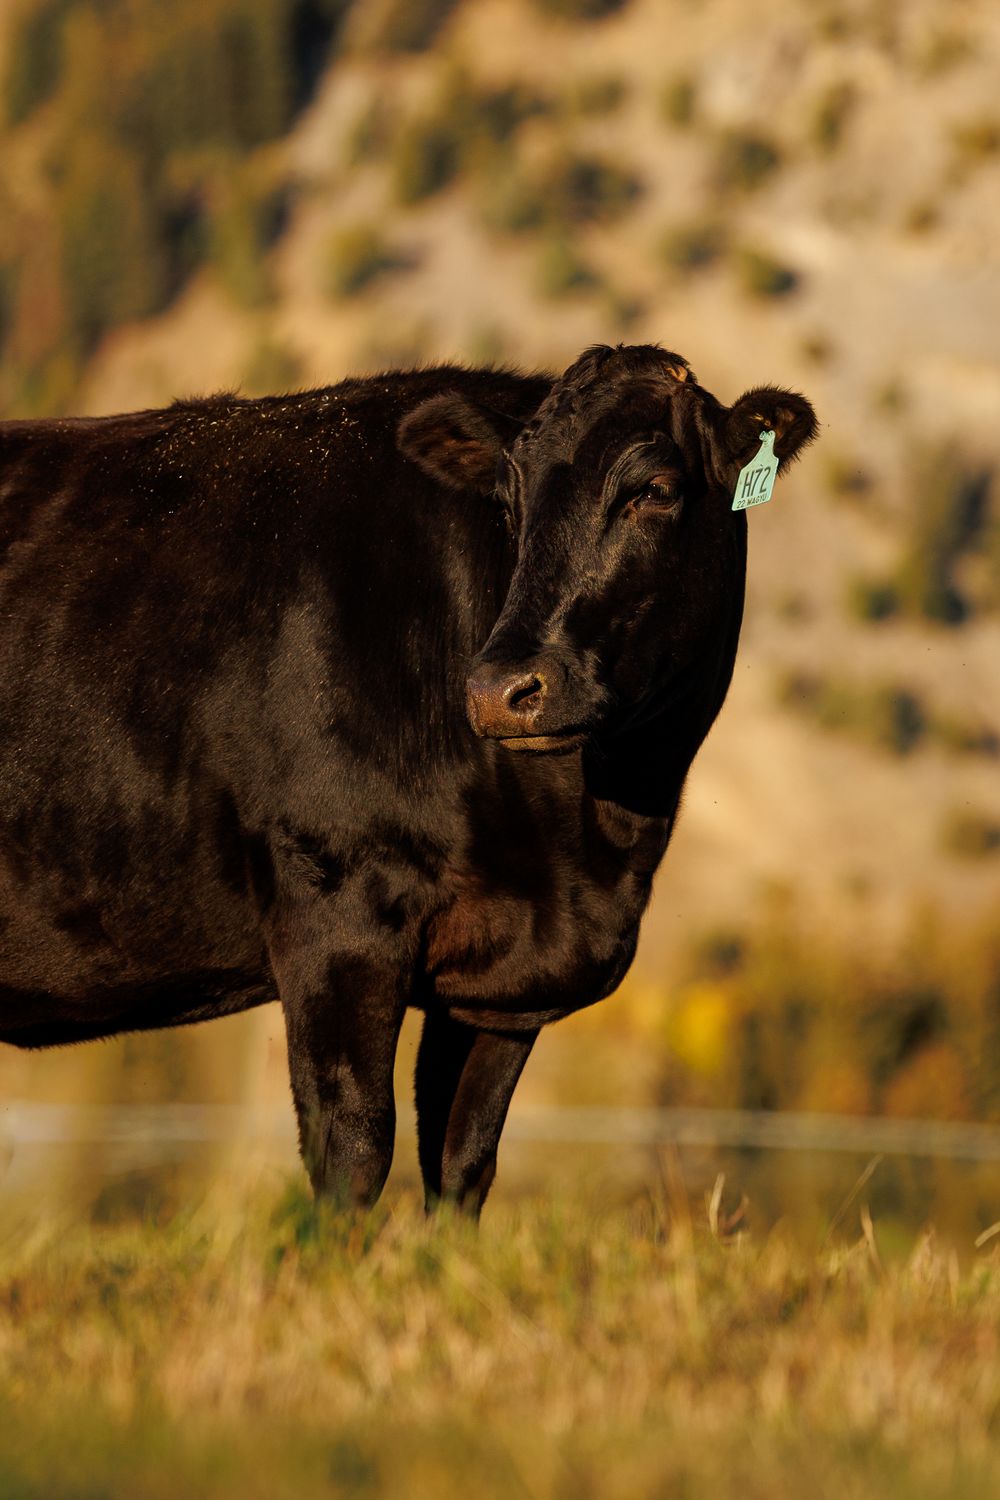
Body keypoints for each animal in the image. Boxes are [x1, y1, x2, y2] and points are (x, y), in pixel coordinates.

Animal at [0, 343, 816, 1216]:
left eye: (654, 491)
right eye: (510, 500)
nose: (499, 689)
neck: (591, 849)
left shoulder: (499, 985)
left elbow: (462, 1162)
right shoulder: (335, 918)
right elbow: (353, 1150)